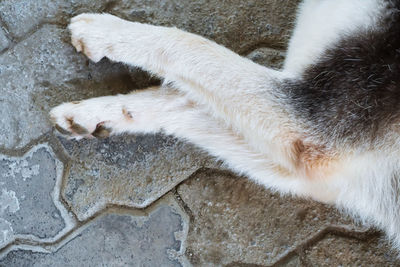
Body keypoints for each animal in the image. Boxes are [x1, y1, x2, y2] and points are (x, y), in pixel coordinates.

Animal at [50, 0, 400, 251]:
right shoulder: (320, 176)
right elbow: (183, 100)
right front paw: (97, 111)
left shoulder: (311, 125)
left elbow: (187, 44)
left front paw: (108, 31)